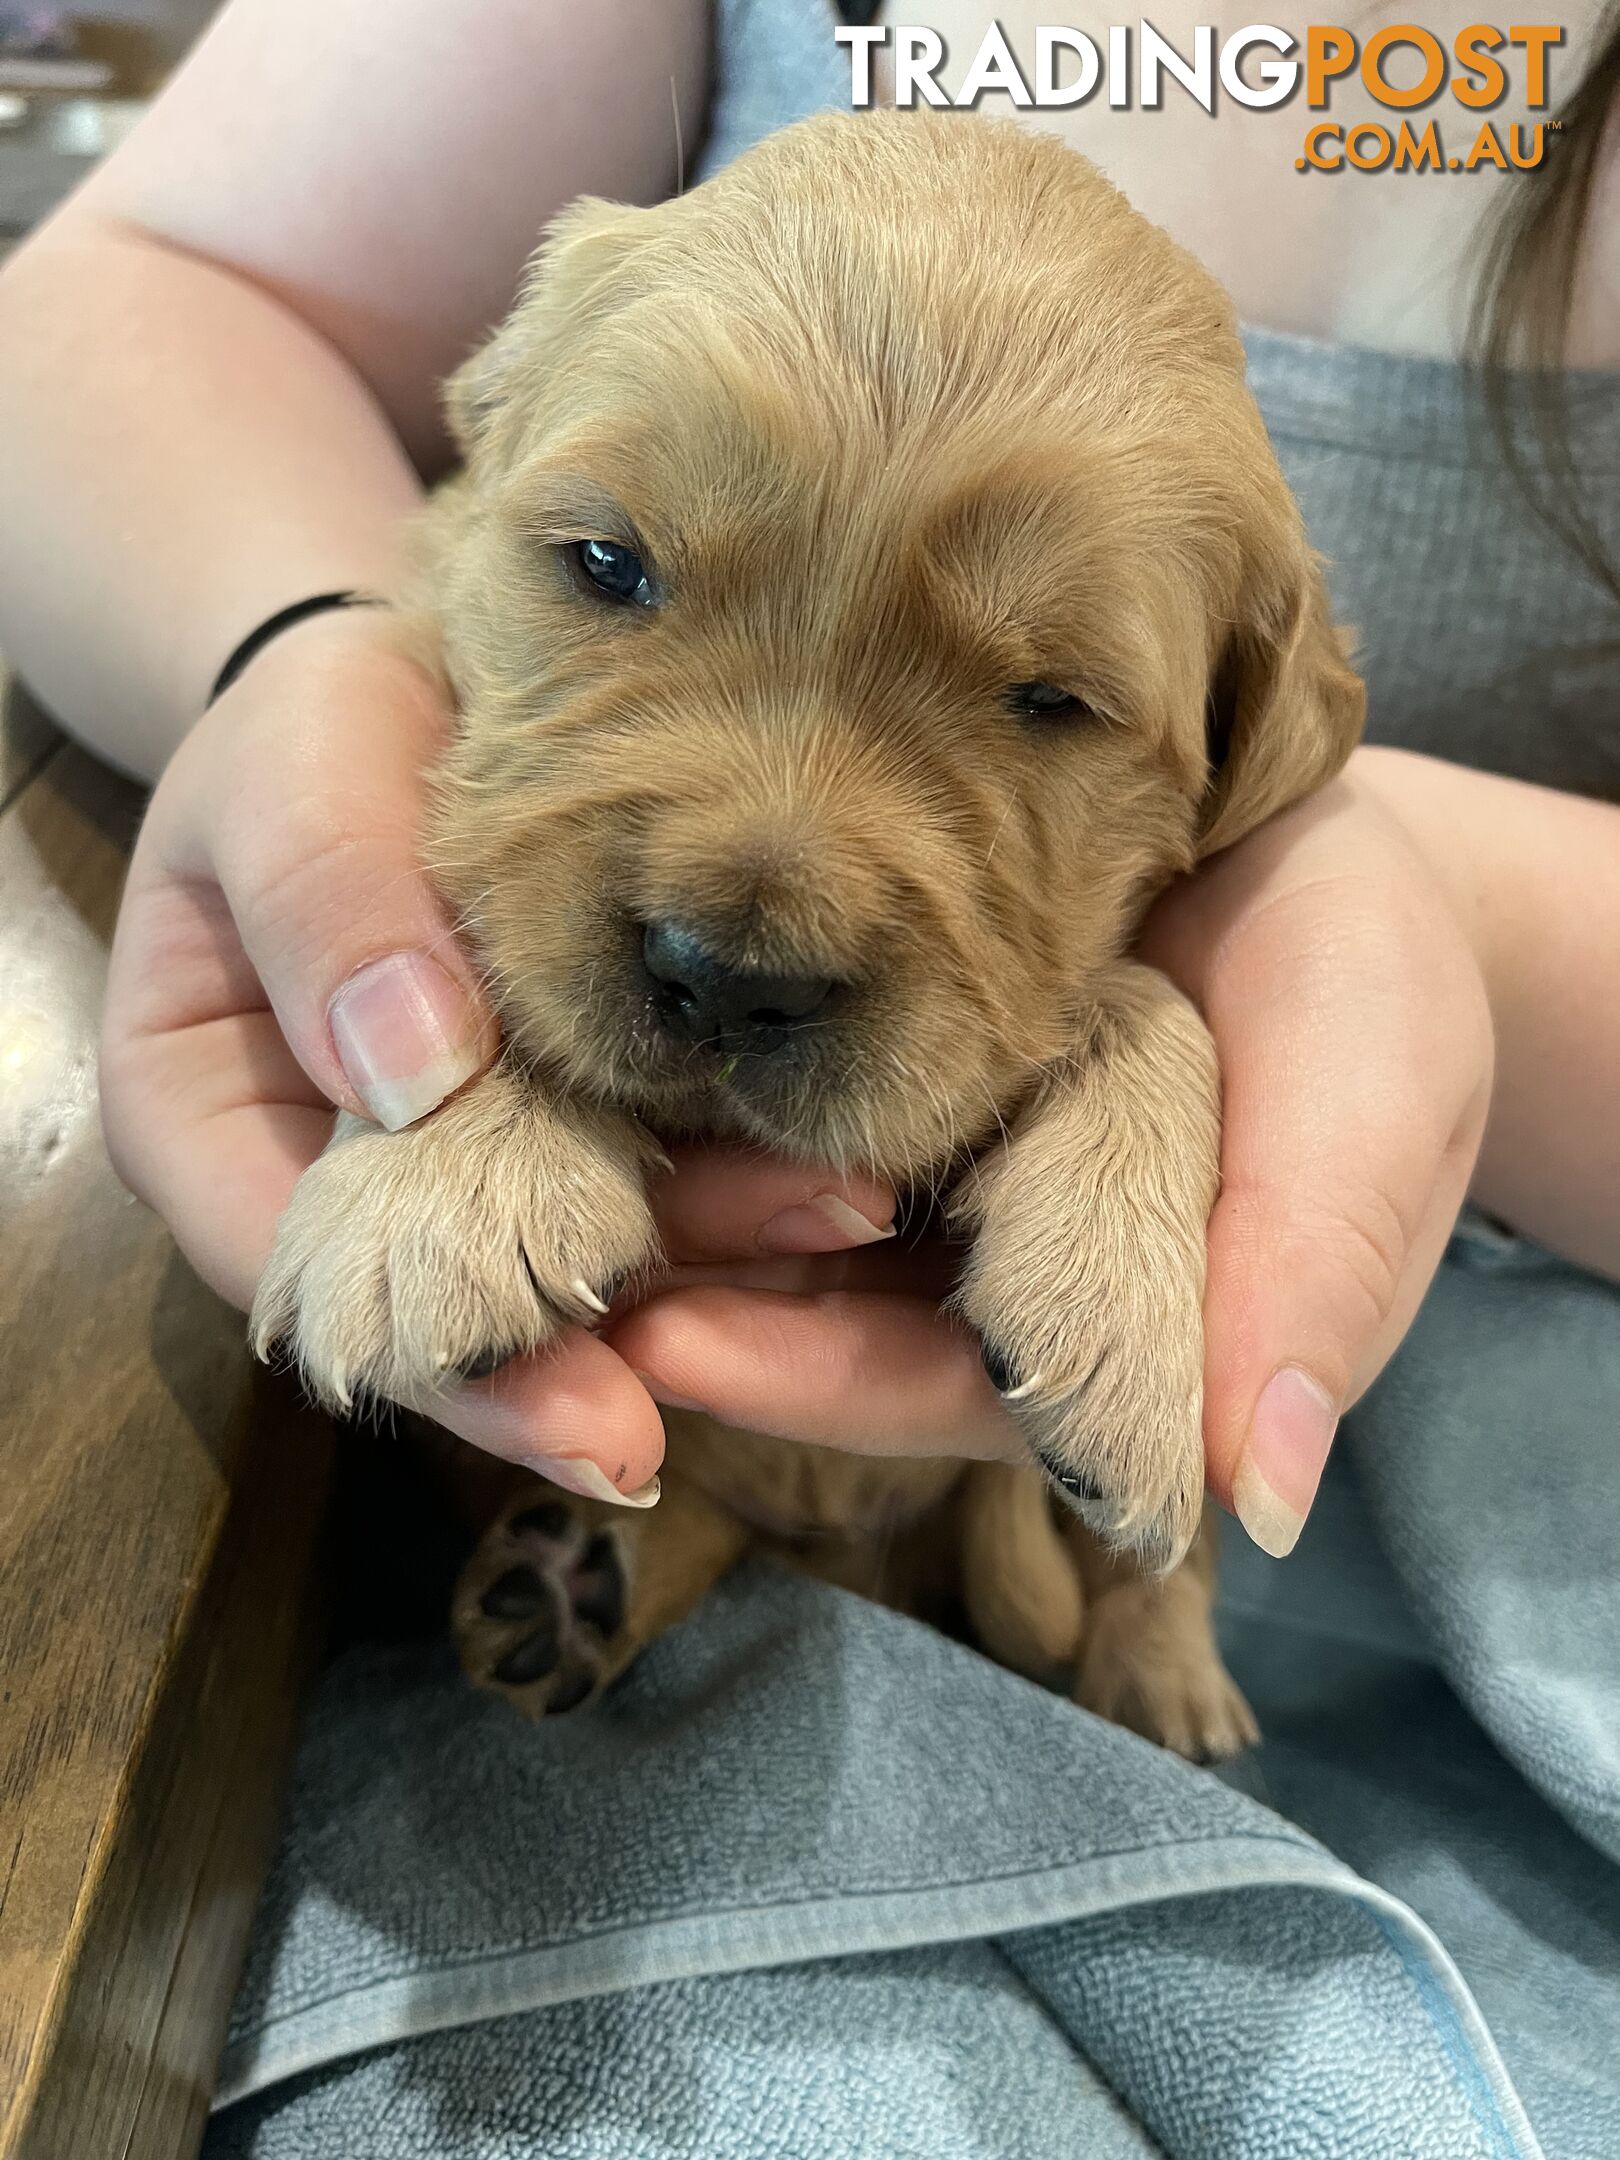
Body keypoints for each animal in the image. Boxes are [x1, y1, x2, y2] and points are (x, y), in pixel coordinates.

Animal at [253, 109, 1373, 1762]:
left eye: (1052, 702)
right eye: (606, 564)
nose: (725, 984)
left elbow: (1148, 995)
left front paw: (1122, 1322)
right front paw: (446, 1176)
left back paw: (1161, 1679)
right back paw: (565, 1591)